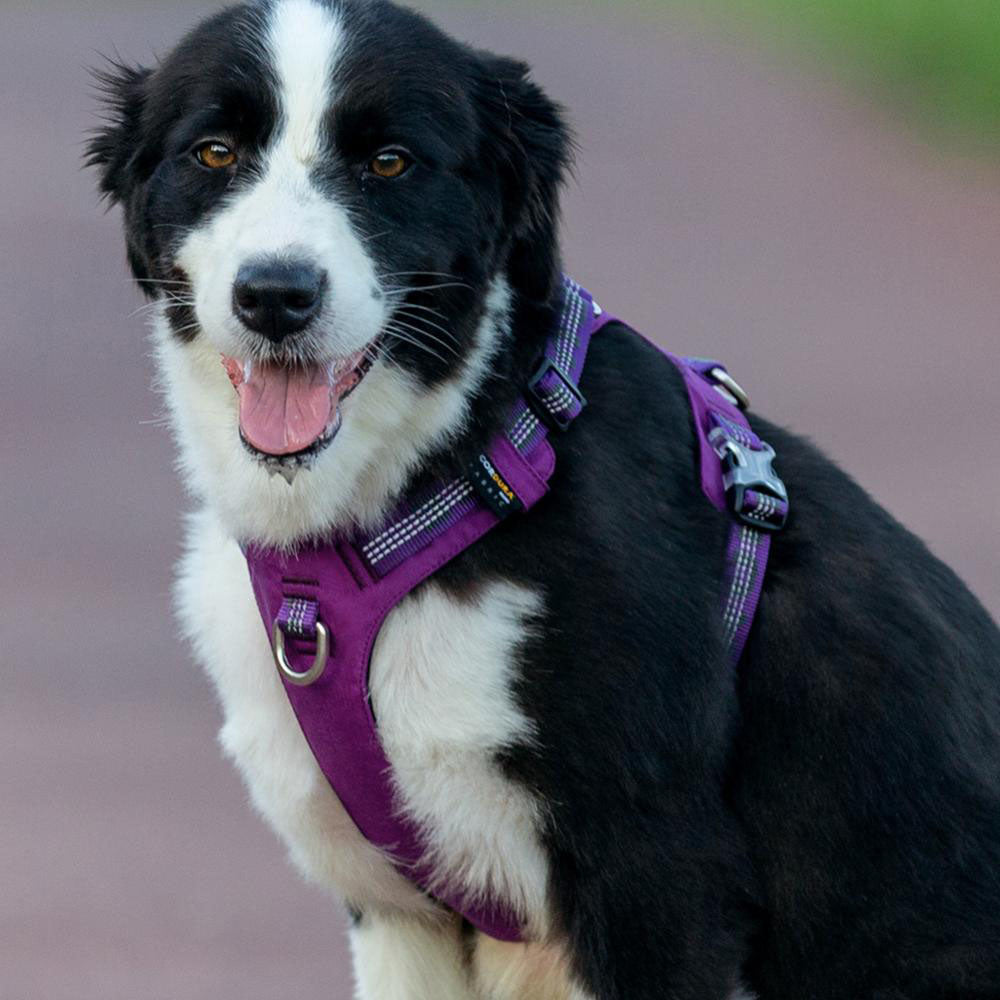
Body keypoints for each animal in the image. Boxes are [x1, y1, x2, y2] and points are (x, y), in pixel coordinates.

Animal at [86, 1, 1000, 1000]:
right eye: (214, 151)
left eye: (389, 161)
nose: (276, 295)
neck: (455, 470)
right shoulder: (402, 914)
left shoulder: (659, 873)